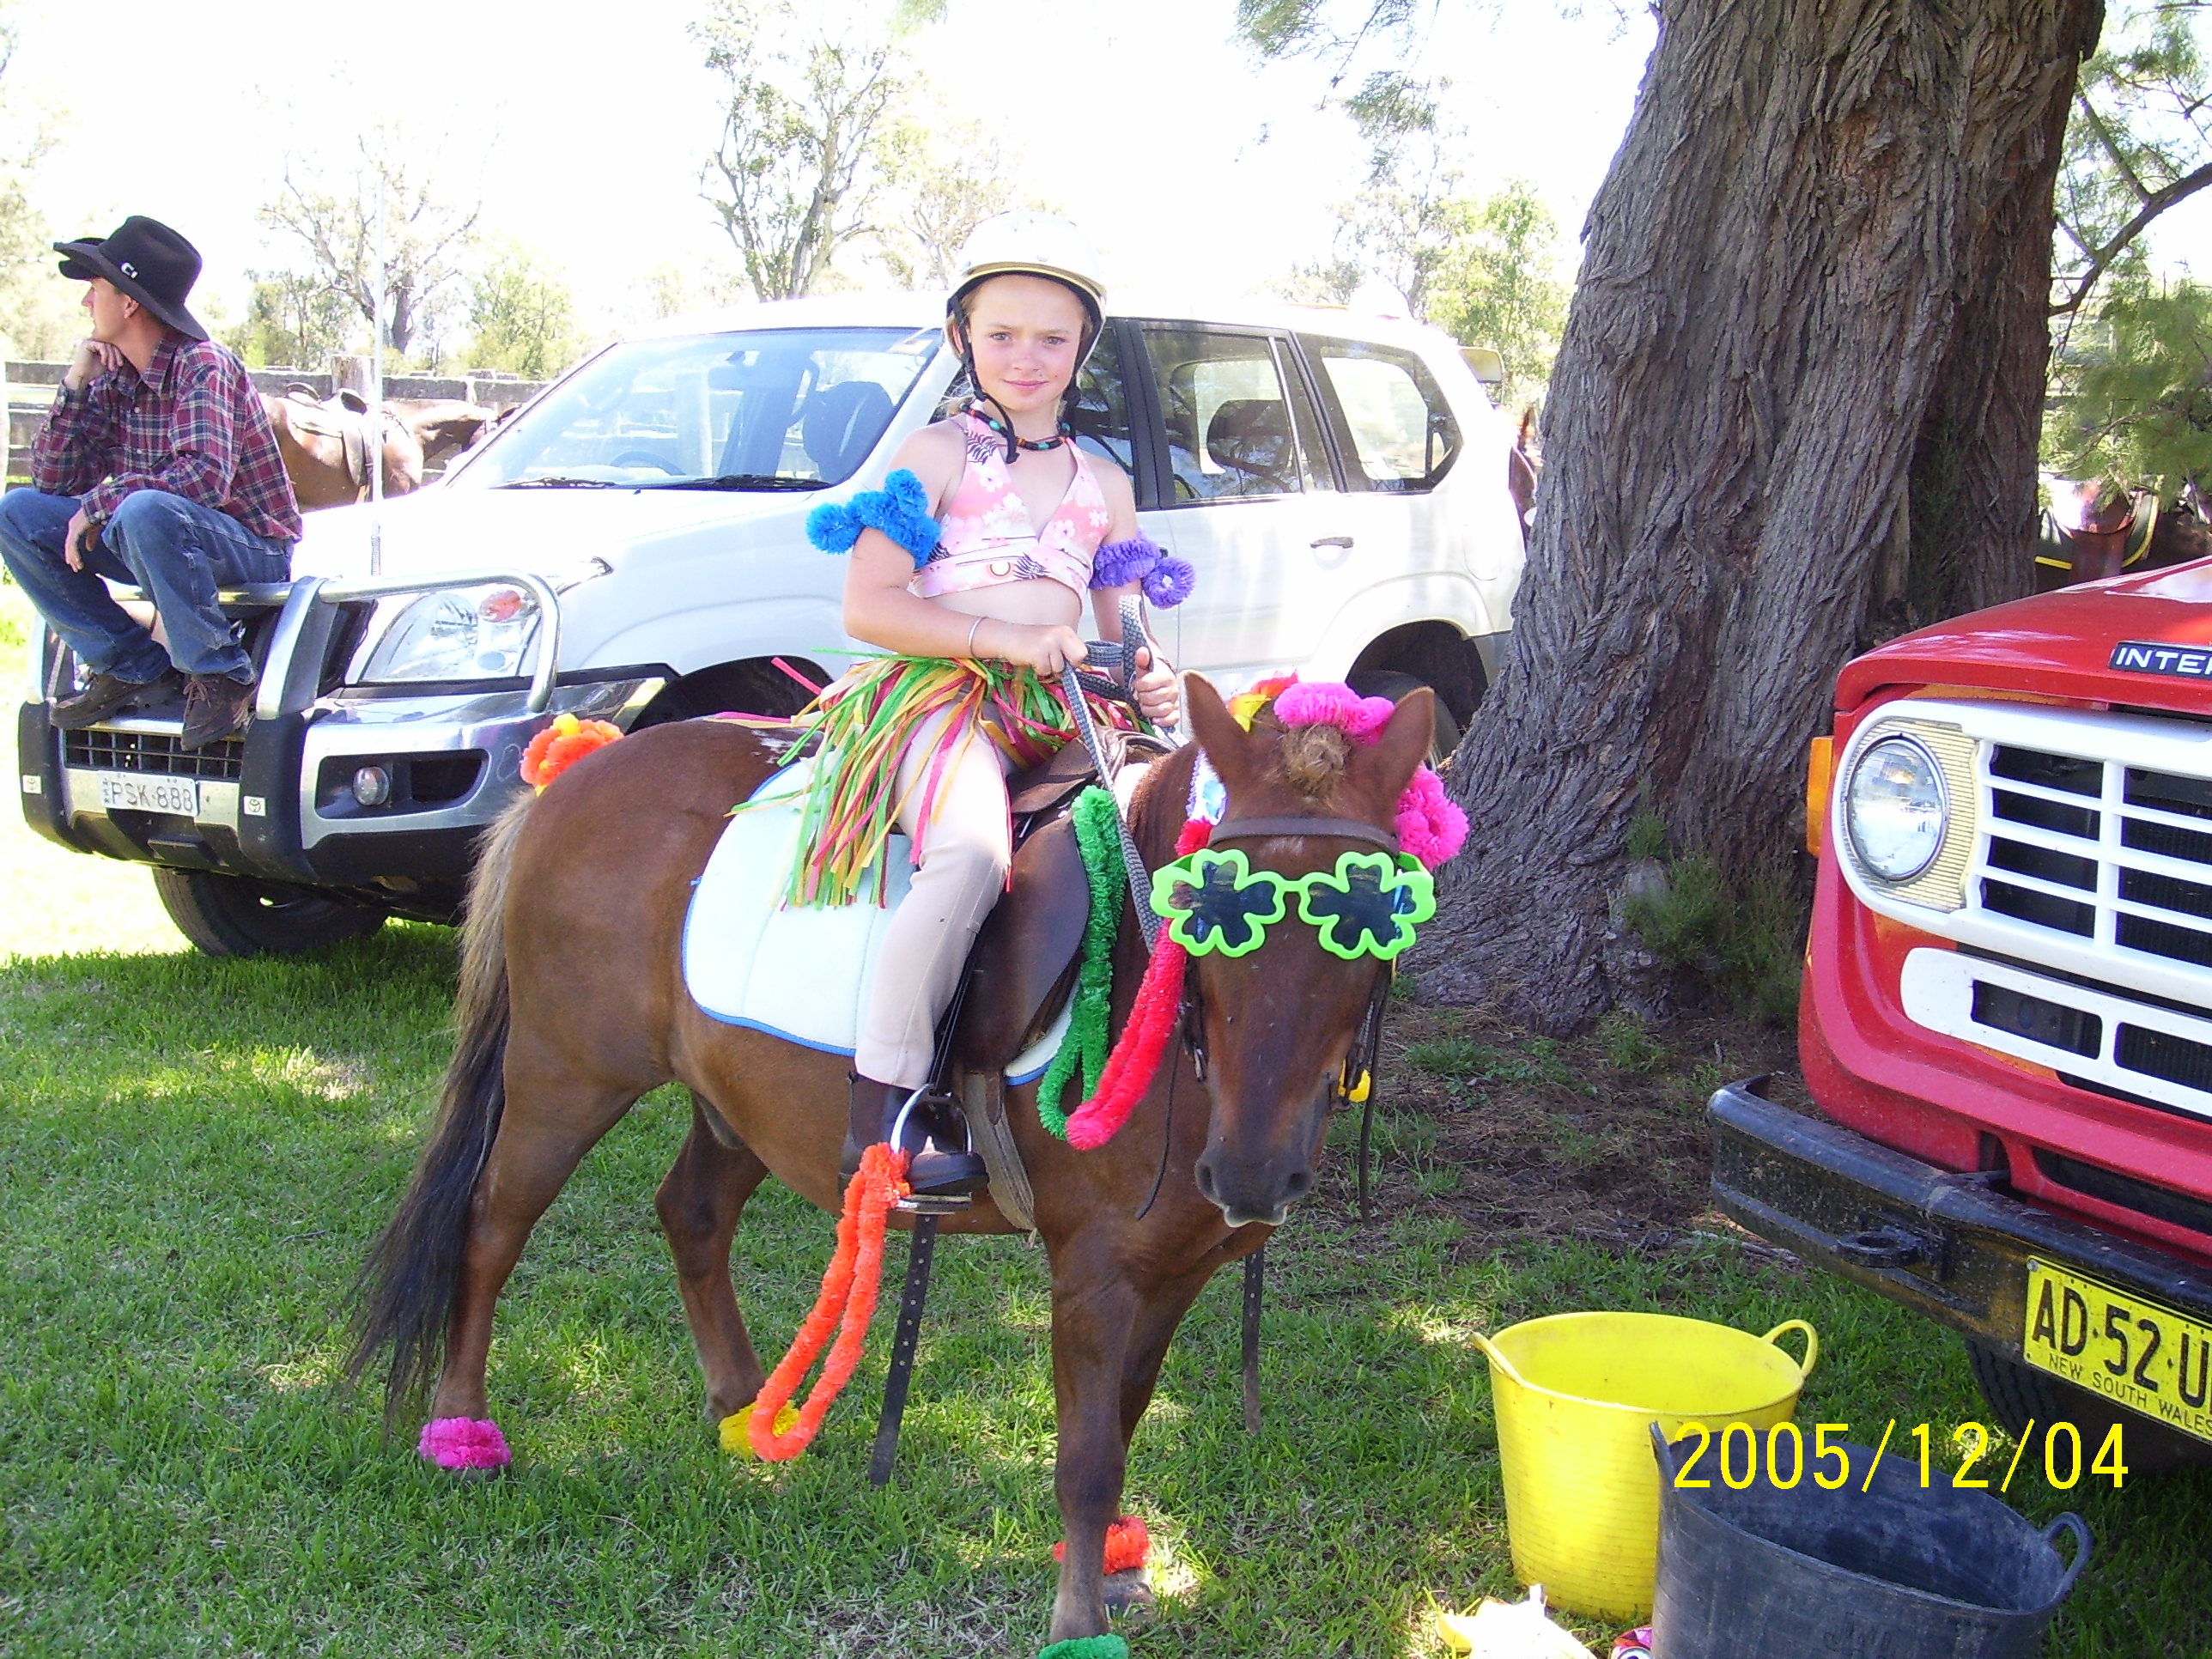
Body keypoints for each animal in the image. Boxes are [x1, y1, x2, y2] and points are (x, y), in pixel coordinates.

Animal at [349, 677, 1433, 1654]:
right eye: (1202, 912)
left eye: (1378, 919)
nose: (1251, 1174)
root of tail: (576, 773)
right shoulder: (1093, 1271)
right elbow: (1086, 1455)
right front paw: (1078, 1623)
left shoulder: (1174, 1268)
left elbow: (1125, 1421)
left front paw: (1114, 1572)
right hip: (563, 1076)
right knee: (490, 1229)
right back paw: (461, 1431)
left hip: (739, 1103)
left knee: (689, 1212)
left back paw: (744, 1409)